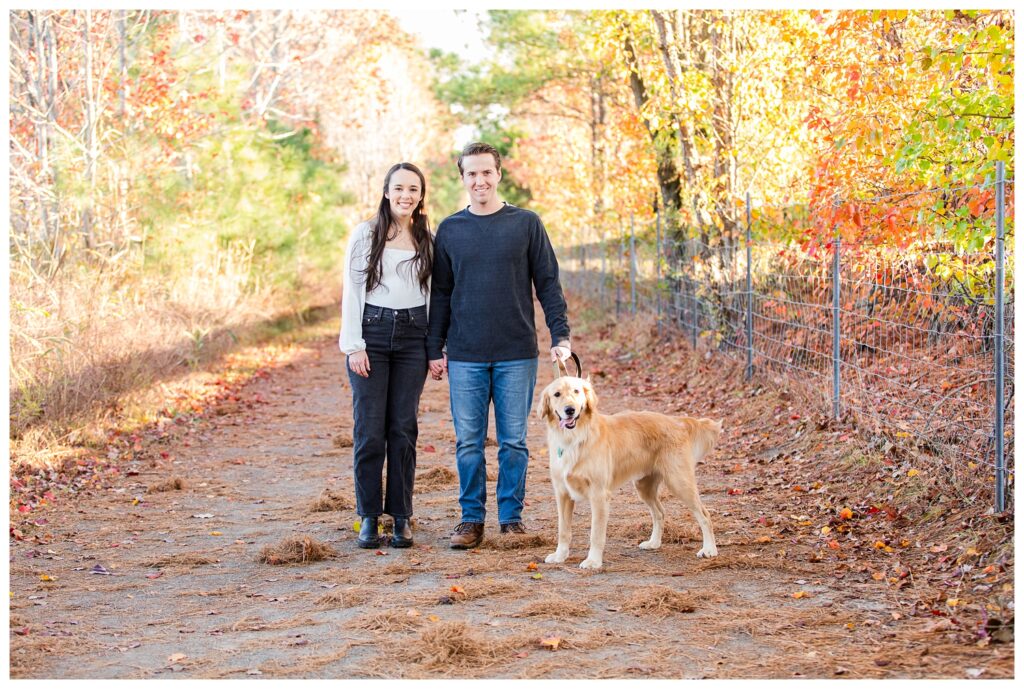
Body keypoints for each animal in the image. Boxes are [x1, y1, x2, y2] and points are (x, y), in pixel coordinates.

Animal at [536, 372, 720, 565]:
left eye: (576, 391)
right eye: (557, 394)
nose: (570, 410)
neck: (574, 438)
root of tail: (677, 421)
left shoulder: (599, 494)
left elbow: (596, 533)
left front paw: (593, 561)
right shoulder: (562, 493)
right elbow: (563, 530)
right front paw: (560, 556)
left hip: (679, 482)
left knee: (704, 515)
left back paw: (709, 550)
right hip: (644, 487)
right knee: (660, 512)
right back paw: (654, 543)